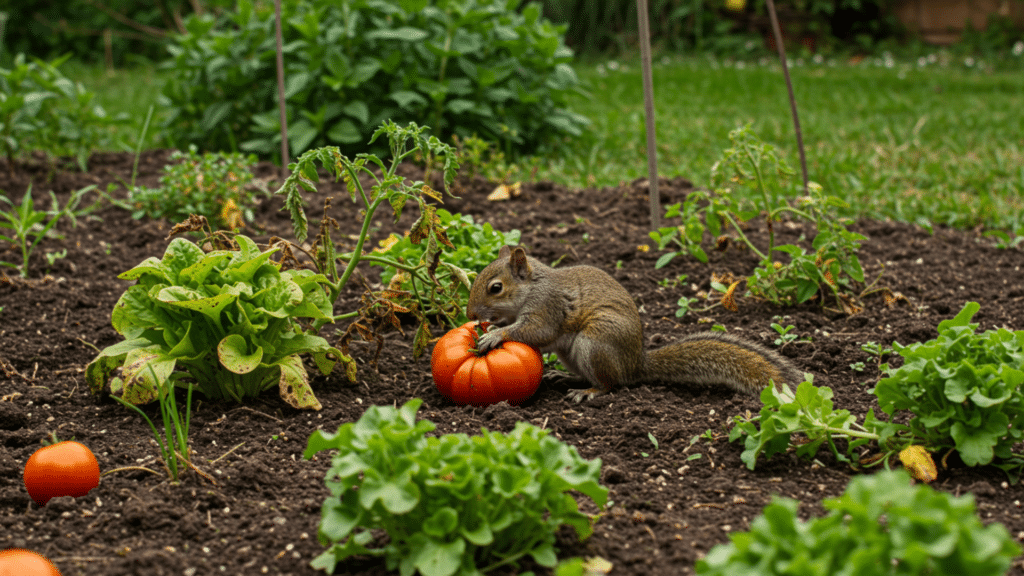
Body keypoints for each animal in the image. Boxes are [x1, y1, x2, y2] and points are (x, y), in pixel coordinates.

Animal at [467, 245, 803, 402]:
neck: (532, 287)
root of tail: (635, 364)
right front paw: (490, 328)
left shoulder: (547, 307)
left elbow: (535, 331)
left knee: (611, 383)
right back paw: (564, 377)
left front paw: (495, 335)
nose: (470, 314)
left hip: (595, 343)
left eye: (495, 288)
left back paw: (589, 392)